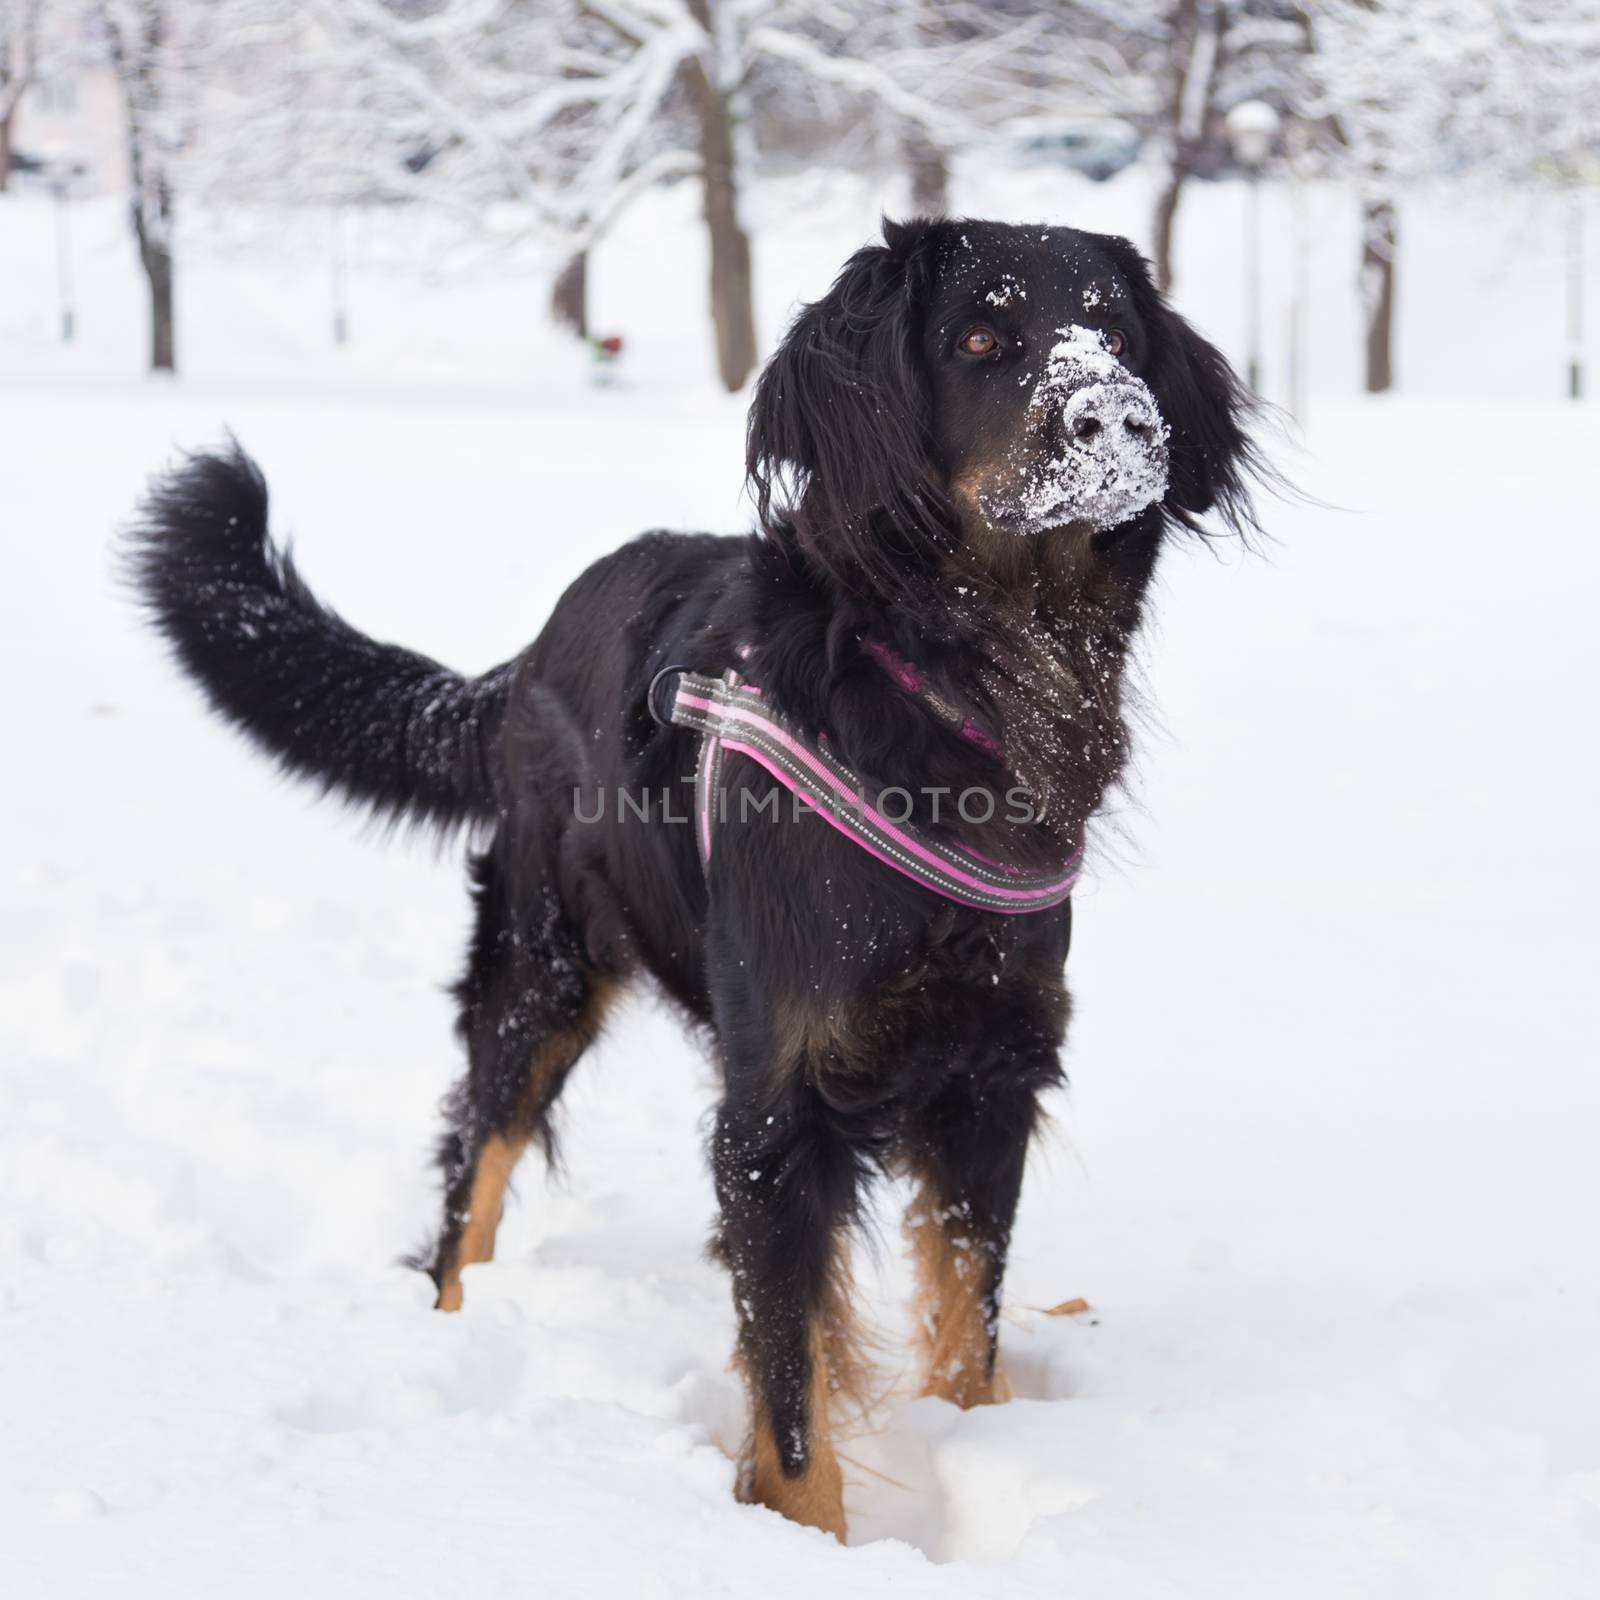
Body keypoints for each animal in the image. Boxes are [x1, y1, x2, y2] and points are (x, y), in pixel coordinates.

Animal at [131, 219, 1260, 1542]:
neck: (949, 692)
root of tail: (528, 652)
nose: (1120, 420)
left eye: (1119, 334)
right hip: (540, 964)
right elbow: (789, 1390)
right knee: (472, 1170)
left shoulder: (991, 1077)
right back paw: (448, 1328)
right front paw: (801, 1538)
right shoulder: (777, 1109)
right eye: (983, 338)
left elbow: (965, 1322)